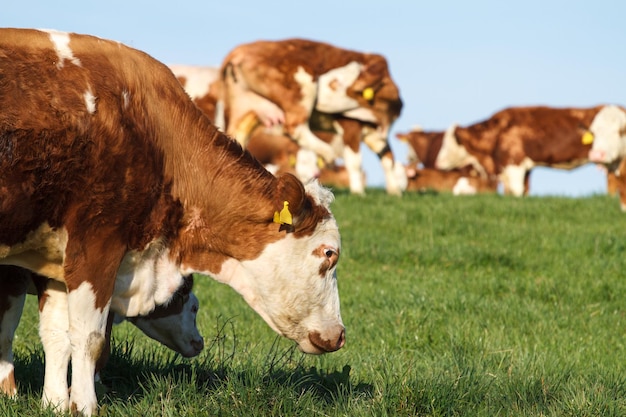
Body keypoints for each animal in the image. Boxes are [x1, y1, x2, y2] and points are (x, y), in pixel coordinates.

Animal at [219, 38, 404, 195]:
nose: (319, 79)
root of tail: (240, 50)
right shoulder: (349, 126)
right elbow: (355, 161)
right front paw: (359, 192)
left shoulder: (378, 136)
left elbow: (388, 159)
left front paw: (395, 192)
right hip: (298, 92)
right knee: (295, 128)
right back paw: (327, 153)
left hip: (245, 108)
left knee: (236, 136)